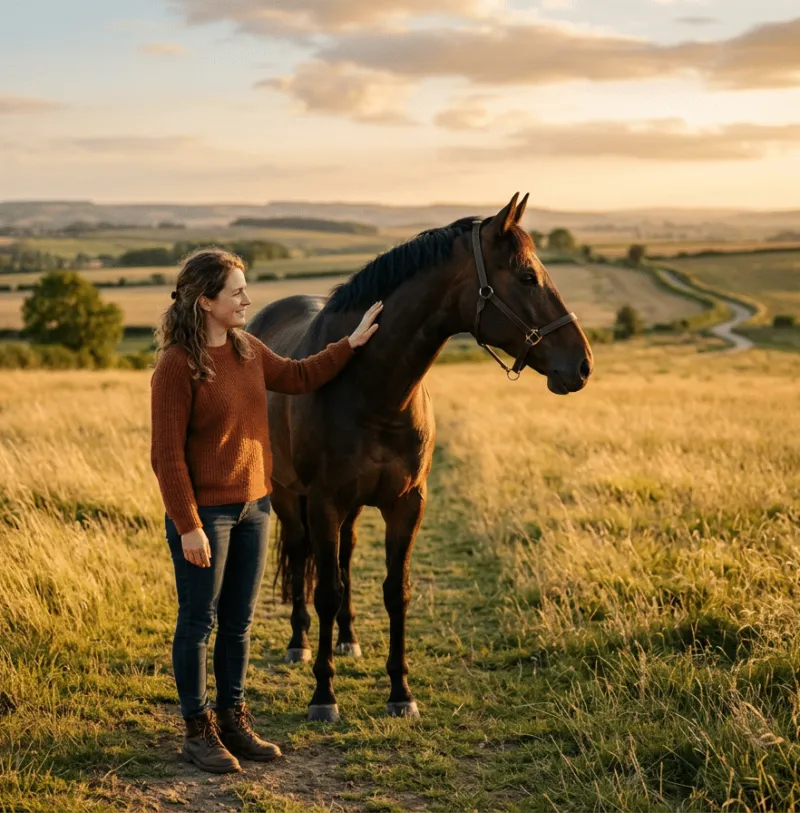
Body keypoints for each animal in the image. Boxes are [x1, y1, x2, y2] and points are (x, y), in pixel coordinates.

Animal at [246, 193, 593, 722]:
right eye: (527, 276)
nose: (582, 364)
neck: (371, 388)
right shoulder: (323, 502)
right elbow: (325, 591)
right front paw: (324, 695)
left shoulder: (407, 503)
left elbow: (395, 591)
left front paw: (400, 691)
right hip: (290, 496)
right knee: (305, 558)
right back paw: (299, 644)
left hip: (349, 511)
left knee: (345, 558)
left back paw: (348, 638)